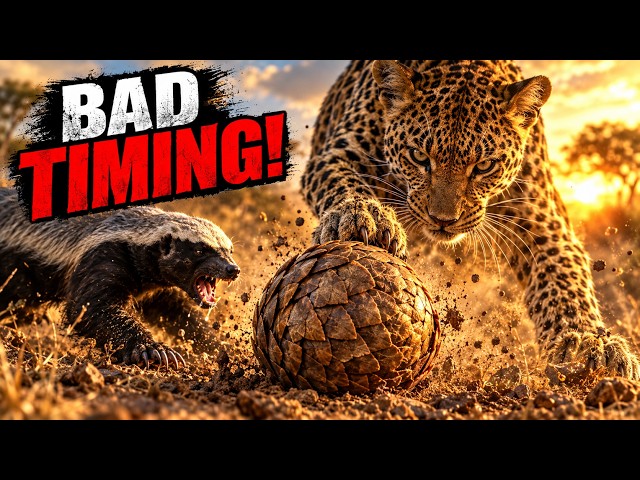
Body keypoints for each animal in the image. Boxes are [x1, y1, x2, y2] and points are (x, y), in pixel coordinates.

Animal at [300, 60, 640, 380]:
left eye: (485, 166)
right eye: (419, 156)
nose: (442, 220)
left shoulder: (543, 220)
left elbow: (566, 278)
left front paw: (588, 343)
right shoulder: (338, 154)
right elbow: (344, 183)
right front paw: (364, 215)